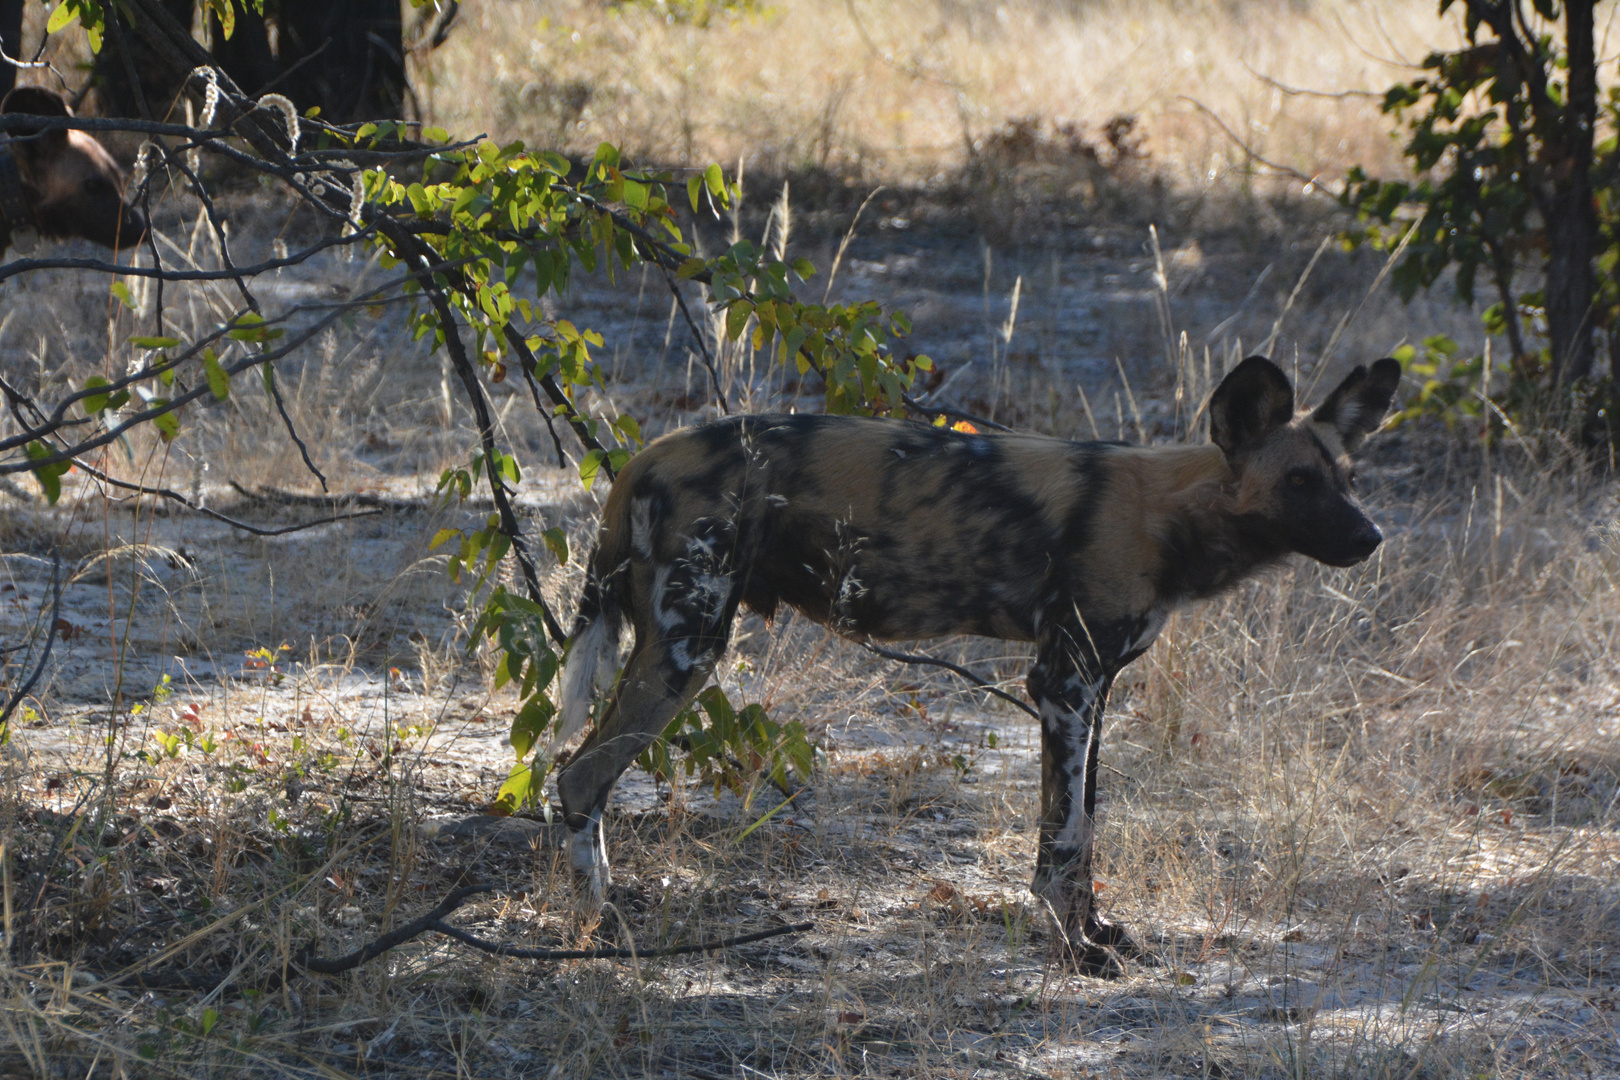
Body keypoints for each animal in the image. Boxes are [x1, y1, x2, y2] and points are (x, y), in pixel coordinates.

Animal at [550, 356, 1399, 977]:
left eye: (1350, 479)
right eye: (1298, 482)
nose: (1371, 537)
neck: (1170, 511)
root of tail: (643, 459)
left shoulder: (1094, 690)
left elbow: (1085, 824)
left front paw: (1097, 931)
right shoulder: (1063, 683)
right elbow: (1065, 837)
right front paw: (1074, 952)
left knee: (576, 772)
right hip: (686, 652)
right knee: (578, 776)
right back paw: (601, 924)